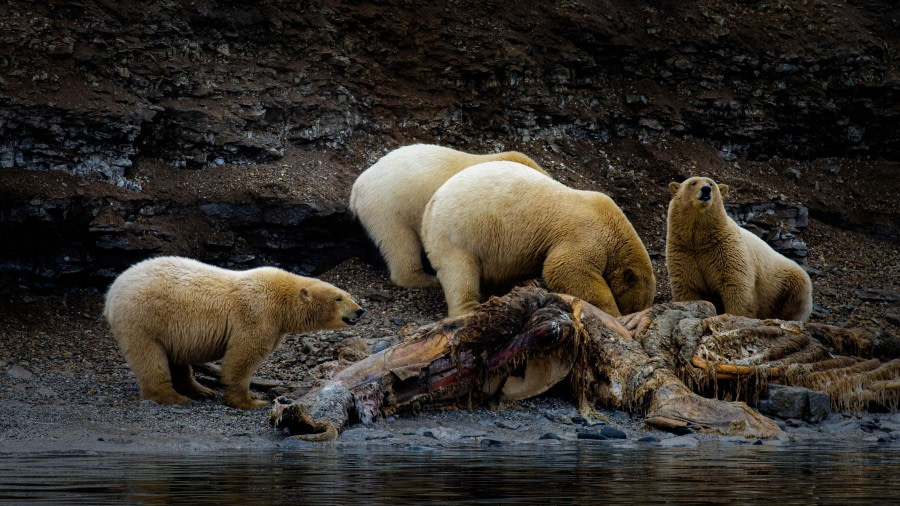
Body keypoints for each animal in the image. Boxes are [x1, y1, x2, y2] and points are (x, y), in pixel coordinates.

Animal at [107, 258, 368, 410]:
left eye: (347, 294)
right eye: (339, 298)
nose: (360, 310)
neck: (281, 300)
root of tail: (112, 291)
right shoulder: (257, 314)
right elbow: (243, 355)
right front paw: (251, 400)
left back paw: (200, 390)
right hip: (143, 318)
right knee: (149, 356)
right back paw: (172, 396)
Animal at [664, 177, 812, 320]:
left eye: (711, 184)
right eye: (693, 183)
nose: (706, 190)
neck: (700, 239)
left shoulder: (725, 248)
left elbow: (735, 284)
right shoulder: (683, 250)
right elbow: (688, 286)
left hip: (787, 286)